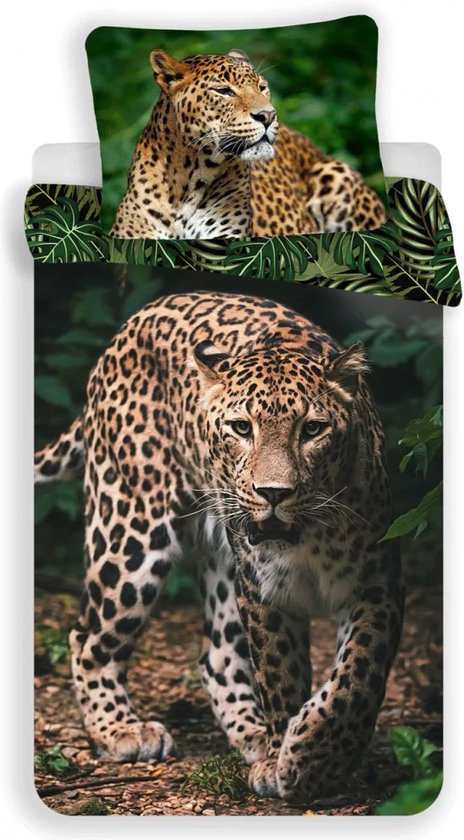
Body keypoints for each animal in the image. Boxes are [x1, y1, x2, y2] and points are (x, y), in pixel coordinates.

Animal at [35, 291, 403, 801]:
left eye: (312, 429)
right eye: (241, 428)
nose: (273, 493)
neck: (307, 536)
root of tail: (130, 324)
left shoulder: (377, 585)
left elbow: (356, 678)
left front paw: (313, 757)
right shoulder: (264, 593)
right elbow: (281, 676)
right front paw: (291, 760)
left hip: (221, 563)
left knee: (217, 656)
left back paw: (252, 735)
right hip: (130, 529)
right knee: (88, 635)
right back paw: (121, 729)